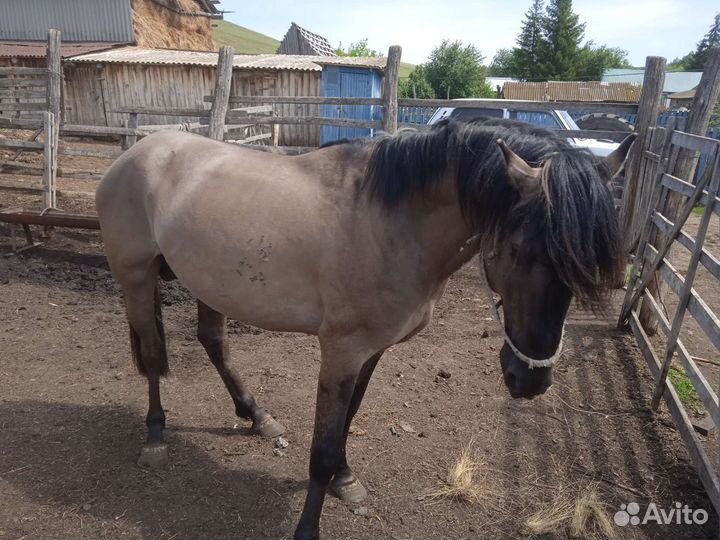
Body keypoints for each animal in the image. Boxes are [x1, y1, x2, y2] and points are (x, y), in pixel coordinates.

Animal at [95, 117, 633, 540]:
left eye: (584, 266)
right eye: (521, 250)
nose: (531, 380)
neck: (388, 222)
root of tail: (136, 153)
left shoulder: (372, 351)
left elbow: (348, 421)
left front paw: (345, 480)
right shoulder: (341, 352)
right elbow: (322, 447)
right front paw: (308, 526)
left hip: (210, 284)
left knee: (213, 343)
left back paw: (257, 415)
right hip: (136, 278)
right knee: (152, 352)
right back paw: (155, 438)